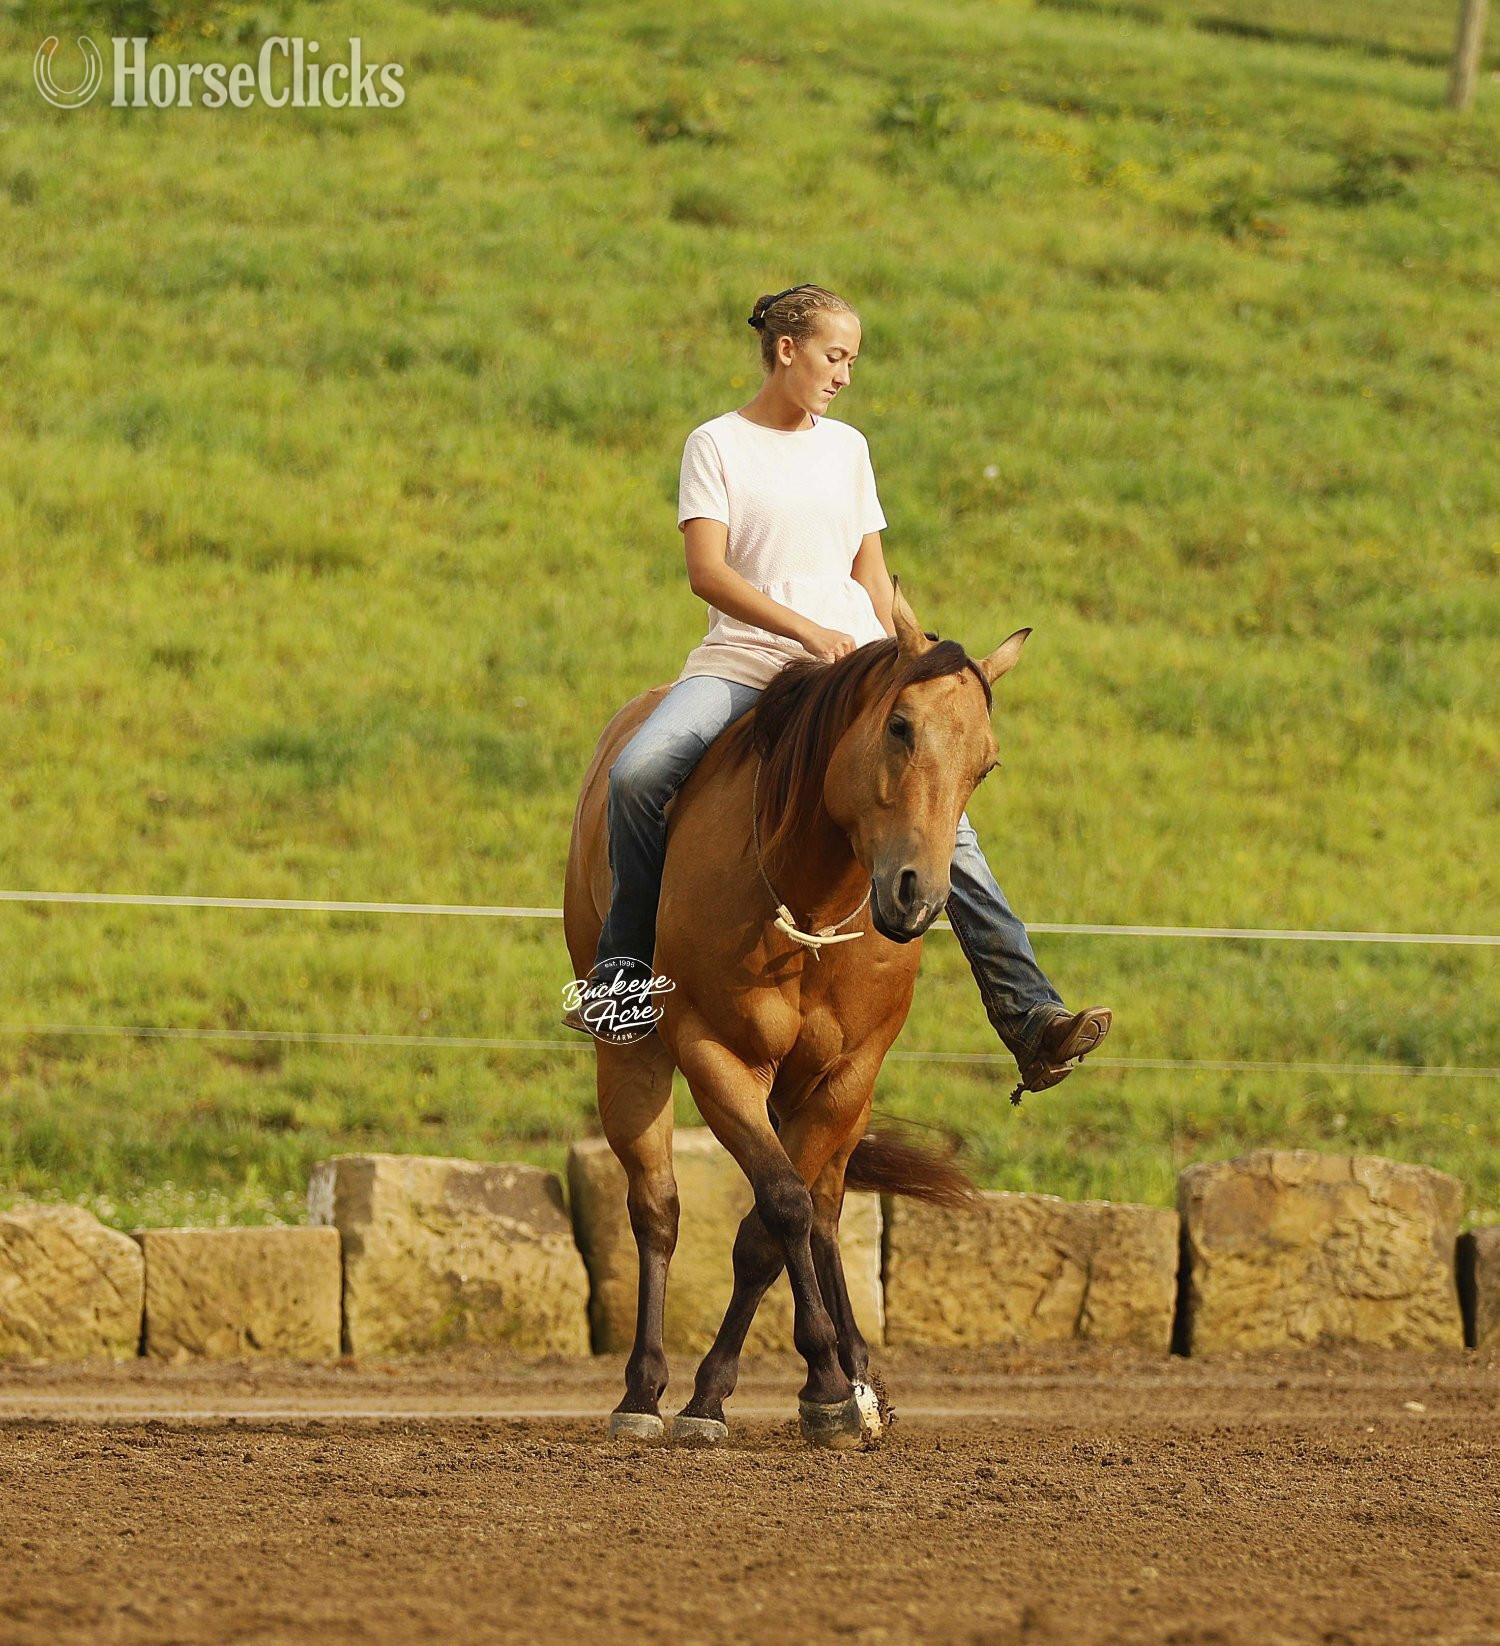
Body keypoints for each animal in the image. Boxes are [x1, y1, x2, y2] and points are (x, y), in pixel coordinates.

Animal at [562, 582, 1030, 1448]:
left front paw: (826, 1387)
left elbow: (779, 1224)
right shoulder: (714, 1053)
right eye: (900, 726)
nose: (919, 896)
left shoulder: (848, 1074)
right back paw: (642, 1390)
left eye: (984, 764)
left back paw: (853, 1373)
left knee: (823, 1212)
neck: (806, 899)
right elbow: (774, 1205)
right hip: (631, 1058)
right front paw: (729, 1394)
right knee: (657, 1211)